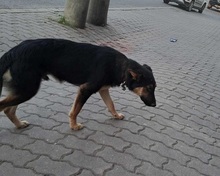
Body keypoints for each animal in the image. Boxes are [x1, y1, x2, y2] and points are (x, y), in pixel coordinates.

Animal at [0, 39, 156, 131]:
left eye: (154, 88)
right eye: (149, 88)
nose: (154, 105)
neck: (120, 67)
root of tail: (13, 52)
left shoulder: (103, 90)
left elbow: (111, 105)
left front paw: (116, 115)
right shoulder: (85, 89)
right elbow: (76, 110)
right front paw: (74, 126)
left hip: (24, 89)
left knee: (8, 110)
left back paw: (19, 125)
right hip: (28, 89)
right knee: (4, 106)